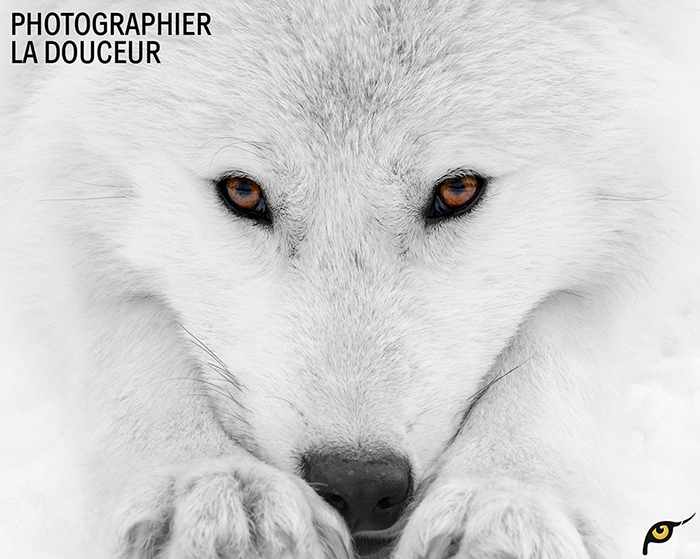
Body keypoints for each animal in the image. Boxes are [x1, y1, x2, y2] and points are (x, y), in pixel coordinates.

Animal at [1, 0, 698, 558]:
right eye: (242, 191)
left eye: (458, 189)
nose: (359, 486)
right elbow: (126, 325)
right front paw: (207, 486)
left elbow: (563, 335)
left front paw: (511, 502)